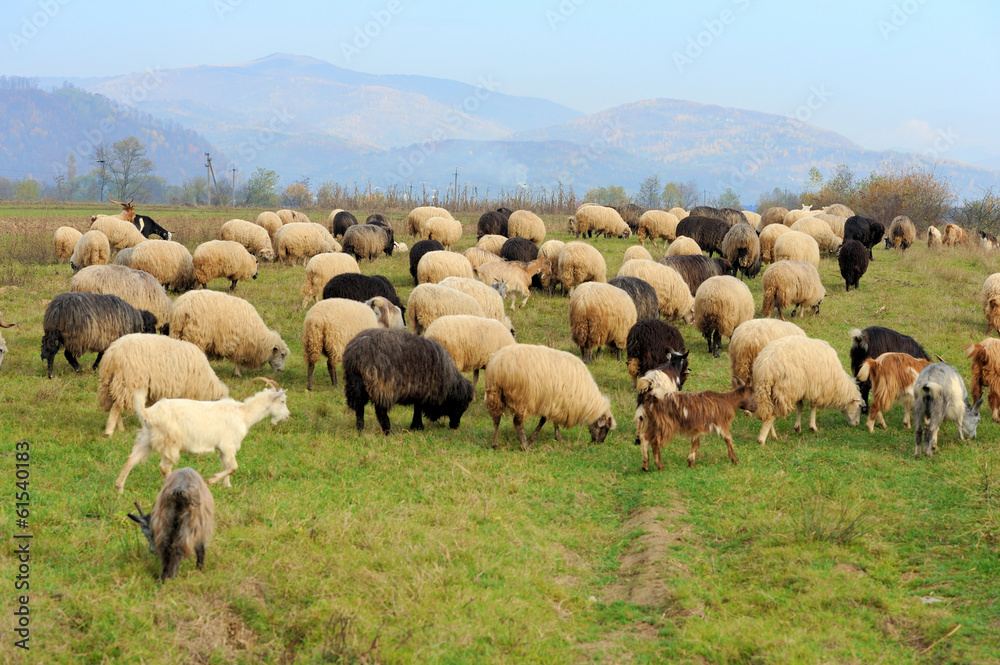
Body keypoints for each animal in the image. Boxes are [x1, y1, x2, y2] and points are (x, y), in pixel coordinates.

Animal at [97, 333, 229, 437]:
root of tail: (112, 352)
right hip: (129, 383)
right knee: (116, 407)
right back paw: (109, 432)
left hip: (111, 383)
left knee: (114, 404)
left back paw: (120, 429)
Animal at [116, 377, 289, 493]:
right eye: (282, 401)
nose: (288, 416)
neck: (243, 414)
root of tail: (148, 413)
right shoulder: (228, 445)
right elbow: (233, 467)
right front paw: (212, 481)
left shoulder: (224, 449)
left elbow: (227, 465)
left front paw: (227, 486)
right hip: (170, 440)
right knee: (164, 467)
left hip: (147, 438)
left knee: (131, 459)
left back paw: (119, 488)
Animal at [343, 328, 474, 434]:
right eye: (462, 406)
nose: (455, 426)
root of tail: (356, 353)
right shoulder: (423, 391)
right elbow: (418, 409)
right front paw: (418, 426)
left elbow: (417, 408)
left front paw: (416, 426)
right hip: (382, 384)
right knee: (380, 411)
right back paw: (388, 431)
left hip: (355, 385)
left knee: (359, 408)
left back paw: (361, 430)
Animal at [484, 343, 616, 450]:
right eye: (605, 428)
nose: (599, 442)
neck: (587, 399)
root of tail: (499, 365)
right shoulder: (558, 402)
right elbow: (547, 420)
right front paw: (545, 439)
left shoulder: (553, 402)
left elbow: (547, 420)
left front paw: (553, 438)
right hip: (521, 398)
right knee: (517, 423)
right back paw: (526, 447)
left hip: (494, 393)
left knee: (496, 419)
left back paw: (494, 444)